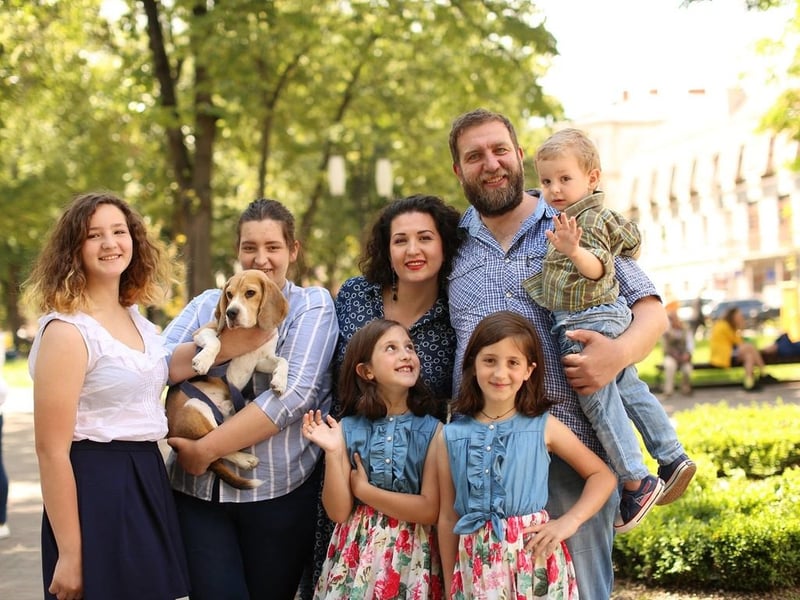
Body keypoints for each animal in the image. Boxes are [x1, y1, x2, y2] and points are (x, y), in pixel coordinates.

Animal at [166, 269, 289, 489]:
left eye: (250, 293)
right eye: (229, 294)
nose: (231, 313)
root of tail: (171, 433)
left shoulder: (262, 360)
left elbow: (282, 361)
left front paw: (279, 382)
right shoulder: (203, 332)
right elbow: (215, 343)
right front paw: (203, 361)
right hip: (195, 406)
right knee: (210, 445)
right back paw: (244, 459)